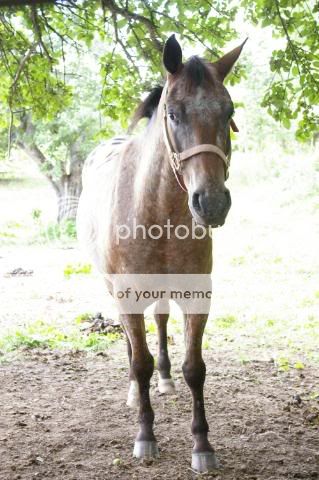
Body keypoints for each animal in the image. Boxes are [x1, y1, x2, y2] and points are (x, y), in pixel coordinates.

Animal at [76, 35, 246, 474]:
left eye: (229, 112)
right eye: (173, 113)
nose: (212, 203)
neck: (156, 211)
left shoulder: (197, 295)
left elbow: (194, 368)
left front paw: (202, 445)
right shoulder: (128, 295)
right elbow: (140, 361)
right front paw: (145, 437)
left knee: (162, 321)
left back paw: (165, 381)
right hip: (115, 291)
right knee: (132, 344)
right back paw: (135, 392)